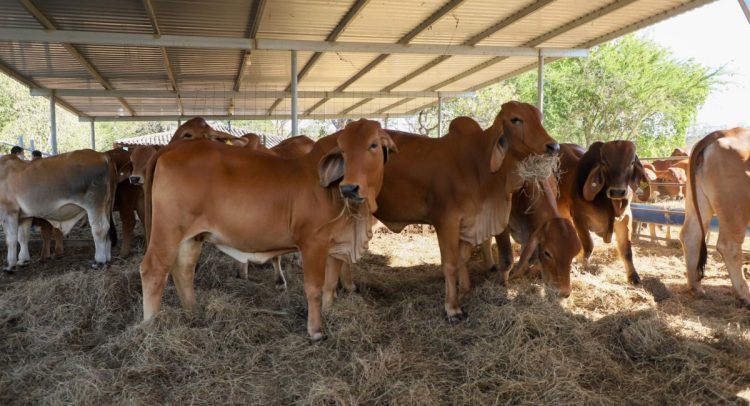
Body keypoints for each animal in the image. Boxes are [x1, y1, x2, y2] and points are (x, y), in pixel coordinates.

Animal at [140, 119, 396, 340]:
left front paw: (330, 312)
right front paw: (316, 330)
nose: (349, 187)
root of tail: (169, 149)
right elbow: (314, 287)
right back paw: (151, 326)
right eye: (342, 150)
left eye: (373, 145)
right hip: (168, 230)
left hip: (192, 237)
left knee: (183, 269)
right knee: (153, 269)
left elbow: (330, 284)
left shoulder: (335, 244)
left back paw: (193, 312)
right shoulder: (313, 243)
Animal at [334, 101, 558, 321]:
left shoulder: (470, 222)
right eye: (515, 119)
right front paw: (453, 309)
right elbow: (450, 263)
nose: (554, 146)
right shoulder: (446, 221)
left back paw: (349, 287)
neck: (479, 166)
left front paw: (465, 289)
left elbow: (463, 259)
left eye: (539, 117)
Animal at [556, 141, 651, 284]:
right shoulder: (578, 216)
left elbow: (627, 250)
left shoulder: (626, 218)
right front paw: (578, 265)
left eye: (631, 163)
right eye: (604, 163)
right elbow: (588, 246)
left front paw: (633, 276)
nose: (617, 192)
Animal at [680, 128, 750, 304]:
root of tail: (725, 132)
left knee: (690, 236)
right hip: (735, 205)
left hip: (698, 200)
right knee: (729, 246)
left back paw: (696, 287)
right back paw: (745, 294)